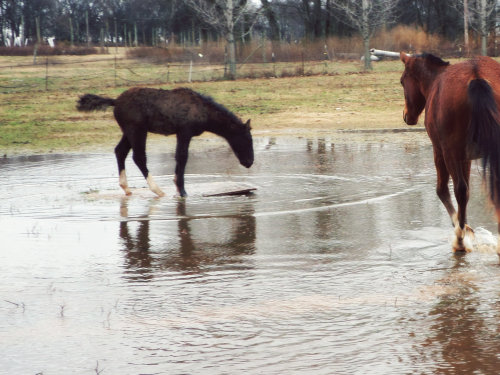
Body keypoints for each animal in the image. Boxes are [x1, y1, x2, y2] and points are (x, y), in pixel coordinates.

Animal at [77, 87, 254, 198]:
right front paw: (182, 192)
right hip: (137, 130)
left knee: (120, 151)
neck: (202, 110)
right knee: (138, 157)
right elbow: (182, 157)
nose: (249, 162)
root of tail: (115, 101)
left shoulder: (182, 134)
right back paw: (158, 190)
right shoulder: (184, 132)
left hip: (129, 132)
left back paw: (126, 189)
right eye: (247, 139)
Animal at [400, 51, 500, 254]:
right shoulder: (465, 158)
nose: (406, 115)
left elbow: (443, 191)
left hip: (449, 152)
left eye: (402, 81)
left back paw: (459, 241)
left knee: (459, 190)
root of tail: (476, 76)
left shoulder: (441, 152)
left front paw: (463, 230)